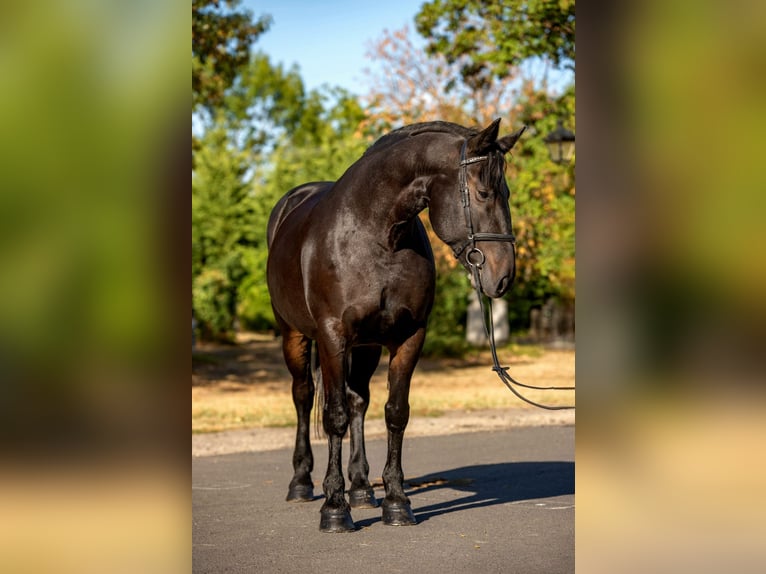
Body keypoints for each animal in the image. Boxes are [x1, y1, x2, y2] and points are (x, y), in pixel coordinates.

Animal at [266, 119, 526, 532]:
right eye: (484, 192)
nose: (503, 277)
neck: (374, 235)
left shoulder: (408, 337)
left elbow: (395, 413)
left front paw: (396, 501)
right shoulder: (332, 337)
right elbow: (334, 416)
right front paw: (335, 509)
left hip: (368, 345)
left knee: (358, 400)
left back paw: (360, 488)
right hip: (294, 335)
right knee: (304, 396)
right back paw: (303, 482)